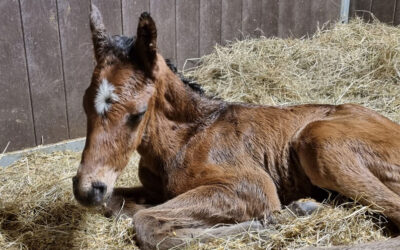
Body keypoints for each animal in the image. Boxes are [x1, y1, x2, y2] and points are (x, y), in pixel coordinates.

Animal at [73, 6, 400, 250]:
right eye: (85, 104)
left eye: (137, 114)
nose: (87, 190)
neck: (188, 137)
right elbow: (118, 205)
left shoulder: (253, 185)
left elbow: (147, 223)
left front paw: (273, 221)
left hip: (319, 142)